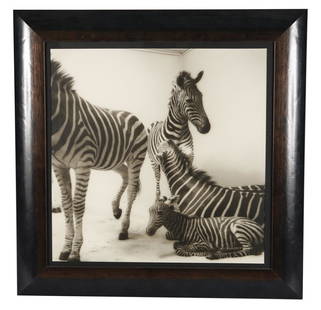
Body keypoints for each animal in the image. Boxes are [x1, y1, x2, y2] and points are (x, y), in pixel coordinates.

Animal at [51, 60, 148, 262]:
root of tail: (132, 115)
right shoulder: (59, 166)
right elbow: (66, 204)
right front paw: (66, 248)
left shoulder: (82, 164)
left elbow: (78, 205)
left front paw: (75, 251)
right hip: (116, 160)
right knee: (126, 177)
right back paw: (116, 209)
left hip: (136, 157)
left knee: (132, 189)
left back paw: (124, 229)